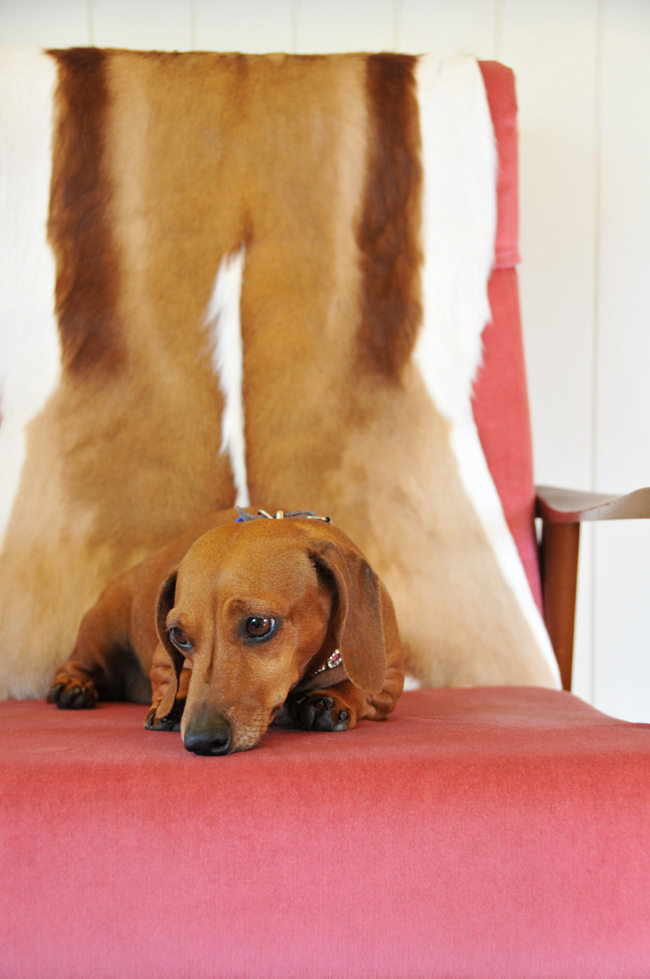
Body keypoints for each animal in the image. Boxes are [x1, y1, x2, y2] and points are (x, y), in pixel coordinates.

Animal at [48, 508, 404, 755]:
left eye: (258, 625)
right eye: (178, 635)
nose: (201, 740)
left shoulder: (389, 682)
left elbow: (360, 689)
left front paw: (331, 698)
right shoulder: (163, 661)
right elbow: (177, 676)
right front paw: (174, 701)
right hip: (100, 631)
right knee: (77, 664)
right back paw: (73, 687)